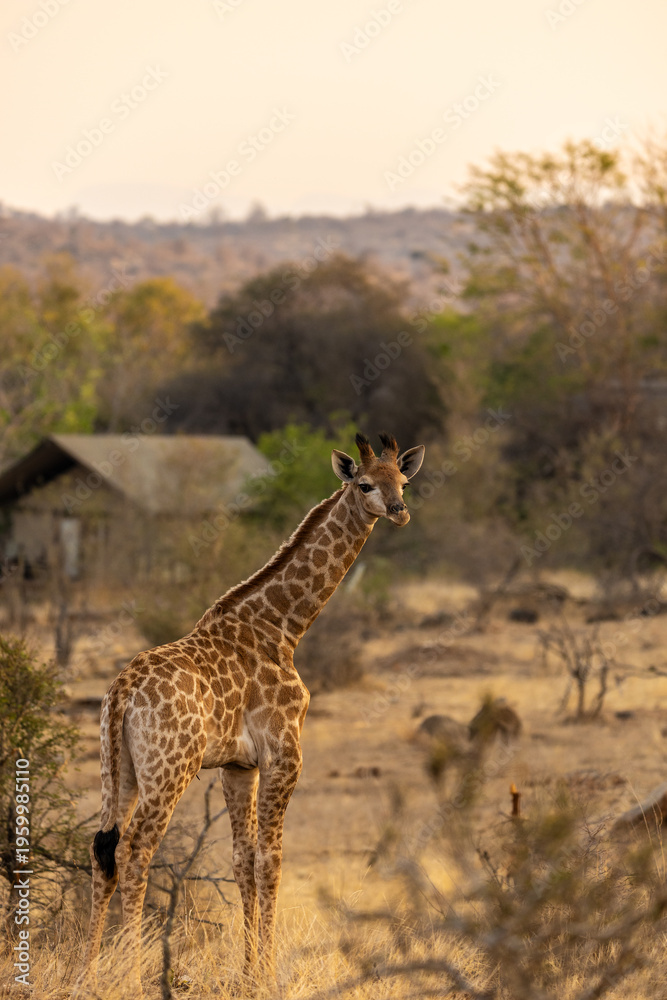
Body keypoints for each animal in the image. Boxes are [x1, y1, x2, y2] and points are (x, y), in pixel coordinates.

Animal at [73, 432, 424, 996]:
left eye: (404, 481)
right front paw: (269, 974)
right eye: (365, 484)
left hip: (117, 768)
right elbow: (271, 860)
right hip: (168, 771)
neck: (283, 626)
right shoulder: (285, 753)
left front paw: (247, 973)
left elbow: (242, 861)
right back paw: (131, 976)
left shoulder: (238, 766)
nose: (399, 512)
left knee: (101, 851)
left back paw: (88, 976)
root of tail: (122, 691)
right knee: (133, 853)